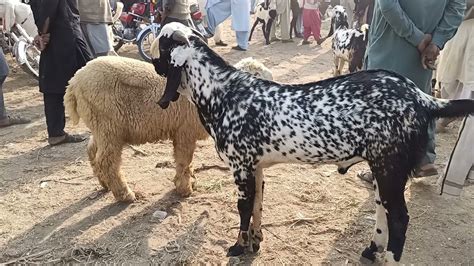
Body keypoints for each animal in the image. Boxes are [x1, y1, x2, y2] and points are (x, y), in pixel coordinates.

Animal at [153, 22, 474, 264]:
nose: (155, 65)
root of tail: (423, 98)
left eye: (161, 48)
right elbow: (257, 204)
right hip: (384, 169)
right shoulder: (257, 167)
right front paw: (256, 242)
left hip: (390, 166)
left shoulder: (241, 166)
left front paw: (238, 246)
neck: (224, 92)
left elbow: (243, 208)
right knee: (382, 209)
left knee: (398, 219)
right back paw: (371, 250)